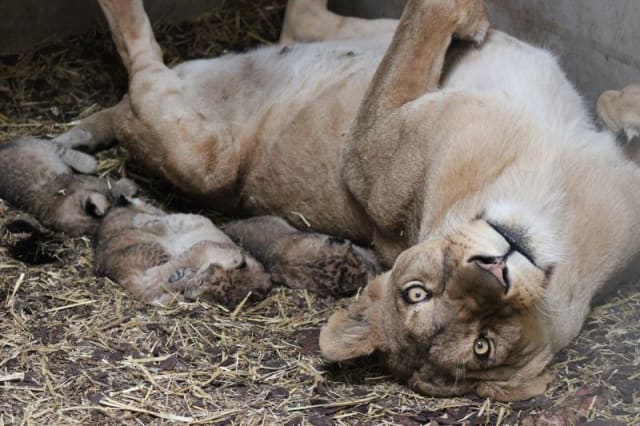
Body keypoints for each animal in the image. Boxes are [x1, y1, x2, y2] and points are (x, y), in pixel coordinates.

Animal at [50, 0, 640, 400]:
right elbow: (416, 37)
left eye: (483, 345)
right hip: (202, 155)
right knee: (152, 62)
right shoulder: (367, 146)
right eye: (417, 294)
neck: (546, 204)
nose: (494, 270)